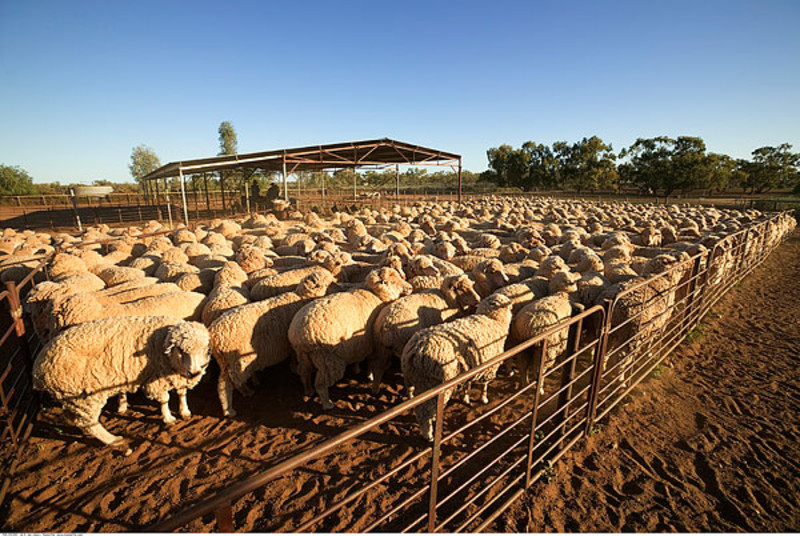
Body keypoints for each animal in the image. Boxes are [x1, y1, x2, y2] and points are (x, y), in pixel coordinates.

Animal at [33, 316, 211, 446]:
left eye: (204, 349)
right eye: (180, 350)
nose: (195, 373)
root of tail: (38, 370)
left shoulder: (176, 376)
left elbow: (182, 394)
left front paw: (184, 411)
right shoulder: (155, 379)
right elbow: (164, 400)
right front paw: (168, 418)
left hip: (72, 397)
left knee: (76, 419)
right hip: (83, 395)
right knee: (88, 423)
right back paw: (113, 440)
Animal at [209, 270, 334, 416]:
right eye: (328, 281)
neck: (302, 297)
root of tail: (214, 334)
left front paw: (293, 367)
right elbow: (294, 357)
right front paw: (294, 368)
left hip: (226, 362)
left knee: (224, 383)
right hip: (235, 360)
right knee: (227, 385)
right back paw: (231, 407)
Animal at [290, 268, 412, 410]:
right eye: (392, 281)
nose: (410, 287)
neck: (375, 294)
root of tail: (298, 335)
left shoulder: (360, 343)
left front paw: (360, 370)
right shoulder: (372, 343)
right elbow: (371, 361)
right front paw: (369, 375)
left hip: (303, 356)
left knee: (304, 373)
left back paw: (308, 391)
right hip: (327, 360)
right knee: (321, 384)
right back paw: (327, 404)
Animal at [400, 296, 512, 442]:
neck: (492, 318)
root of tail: (417, 348)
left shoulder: (471, 366)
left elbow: (467, 385)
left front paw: (466, 398)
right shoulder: (489, 366)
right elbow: (485, 384)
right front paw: (484, 399)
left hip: (414, 379)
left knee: (416, 401)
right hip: (433, 383)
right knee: (425, 412)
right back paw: (428, 434)